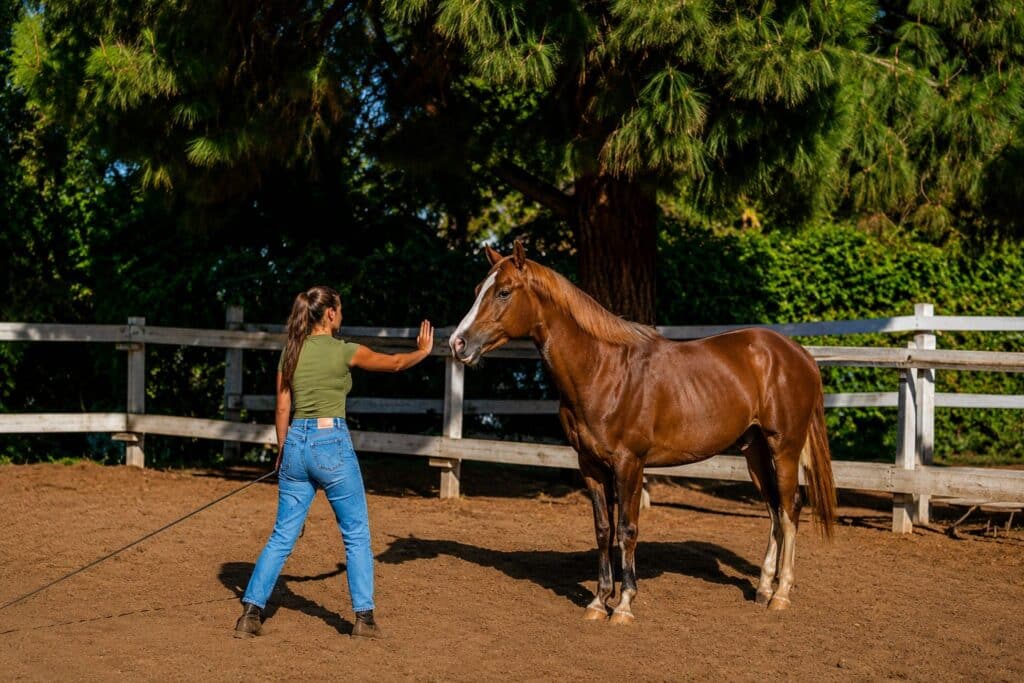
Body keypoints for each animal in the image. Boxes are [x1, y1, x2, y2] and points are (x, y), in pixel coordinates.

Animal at [449, 241, 836, 624]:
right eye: (477, 290)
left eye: (503, 292)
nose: (457, 343)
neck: (603, 371)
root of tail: (799, 355)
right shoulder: (590, 465)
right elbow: (603, 529)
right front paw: (598, 601)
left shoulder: (629, 464)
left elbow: (627, 529)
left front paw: (623, 605)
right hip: (753, 449)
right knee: (773, 508)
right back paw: (763, 589)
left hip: (783, 448)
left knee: (789, 508)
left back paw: (781, 594)